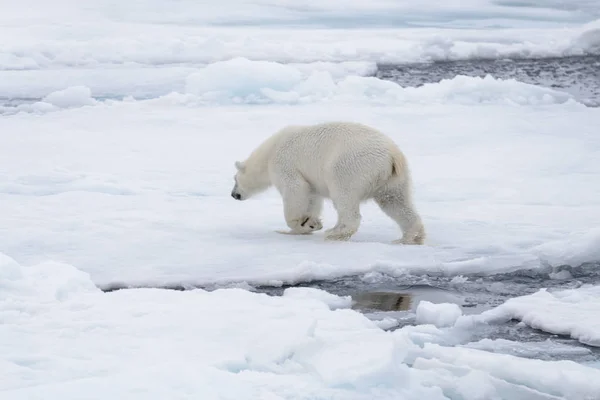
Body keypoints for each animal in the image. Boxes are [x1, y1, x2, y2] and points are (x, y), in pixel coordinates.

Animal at [231, 120, 426, 244]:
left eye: (235, 180)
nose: (234, 195)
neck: (269, 152)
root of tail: (393, 155)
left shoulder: (285, 164)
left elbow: (295, 190)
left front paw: (298, 225)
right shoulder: (310, 179)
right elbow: (312, 197)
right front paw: (309, 223)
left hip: (350, 167)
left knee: (343, 197)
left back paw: (335, 233)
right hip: (394, 179)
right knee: (396, 203)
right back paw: (409, 238)